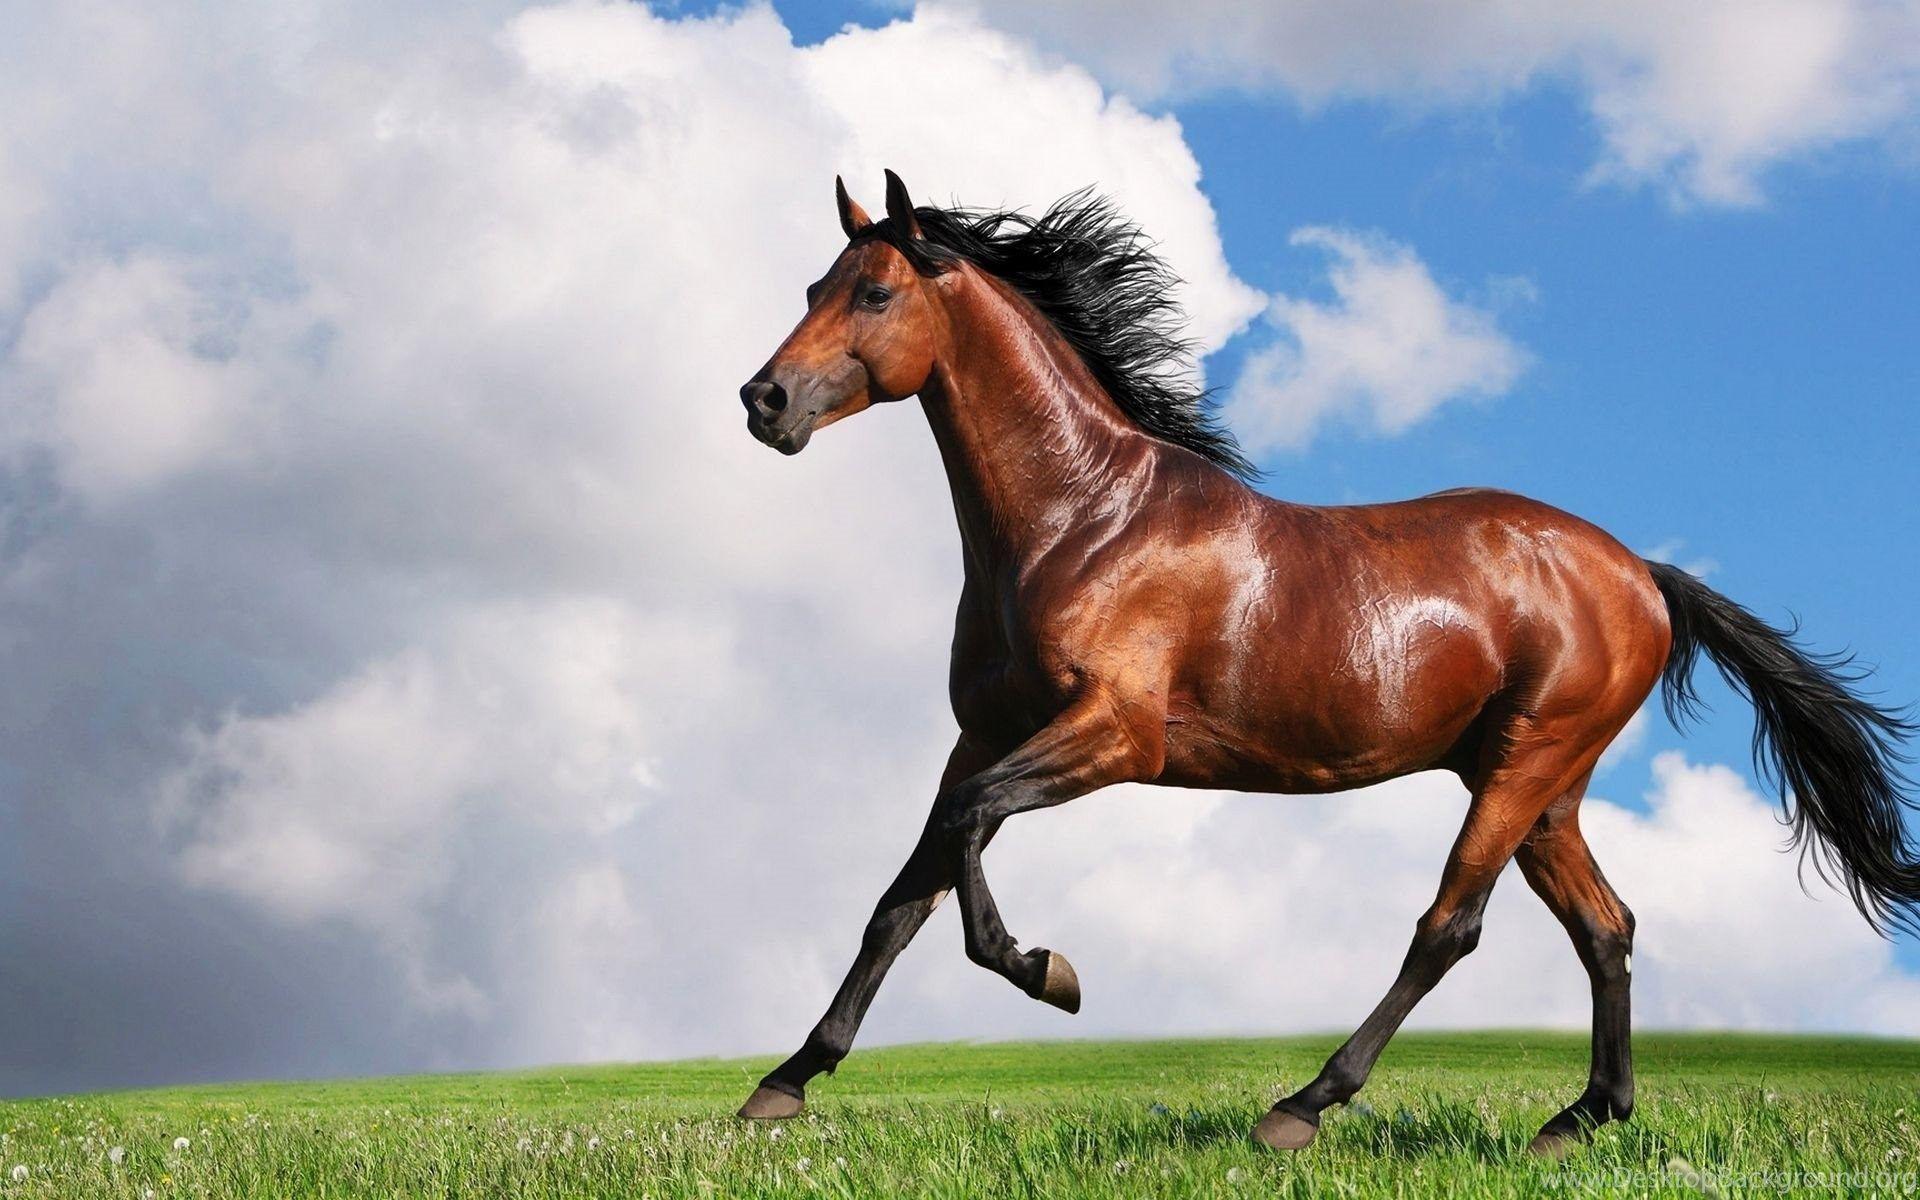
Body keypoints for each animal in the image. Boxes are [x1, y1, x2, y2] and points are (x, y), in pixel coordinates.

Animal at [732, 171, 1918, 1156]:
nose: (764, 401)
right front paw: (783, 1084)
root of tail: (1641, 574)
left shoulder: (1115, 736)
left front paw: (1048, 974)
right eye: (814, 284)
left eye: (874, 293)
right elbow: (906, 892)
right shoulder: (980, 734)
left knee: (1451, 927)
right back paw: (1578, 1120)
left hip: (1527, 765)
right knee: (1605, 927)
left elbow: (971, 833)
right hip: (1543, 788)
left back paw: (1301, 1108)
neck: (1083, 522)